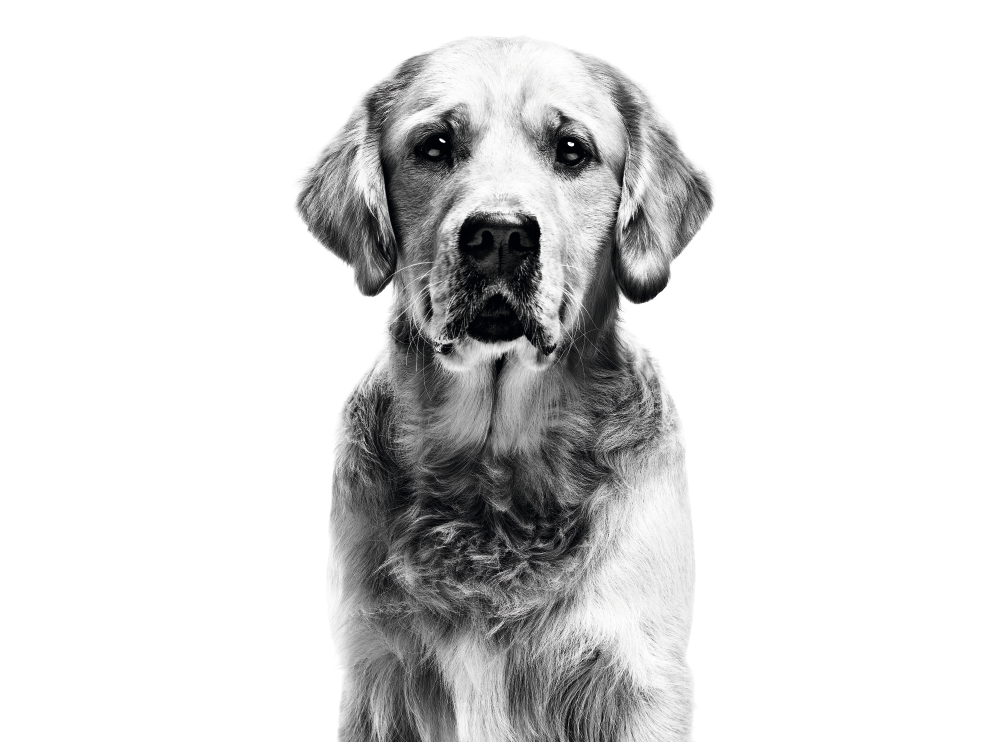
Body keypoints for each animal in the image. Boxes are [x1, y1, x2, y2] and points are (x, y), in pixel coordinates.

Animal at [294, 36, 712, 742]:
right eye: (435, 145)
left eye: (571, 149)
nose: (499, 234)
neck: (493, 471)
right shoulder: (376, 673)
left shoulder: (638, 674)